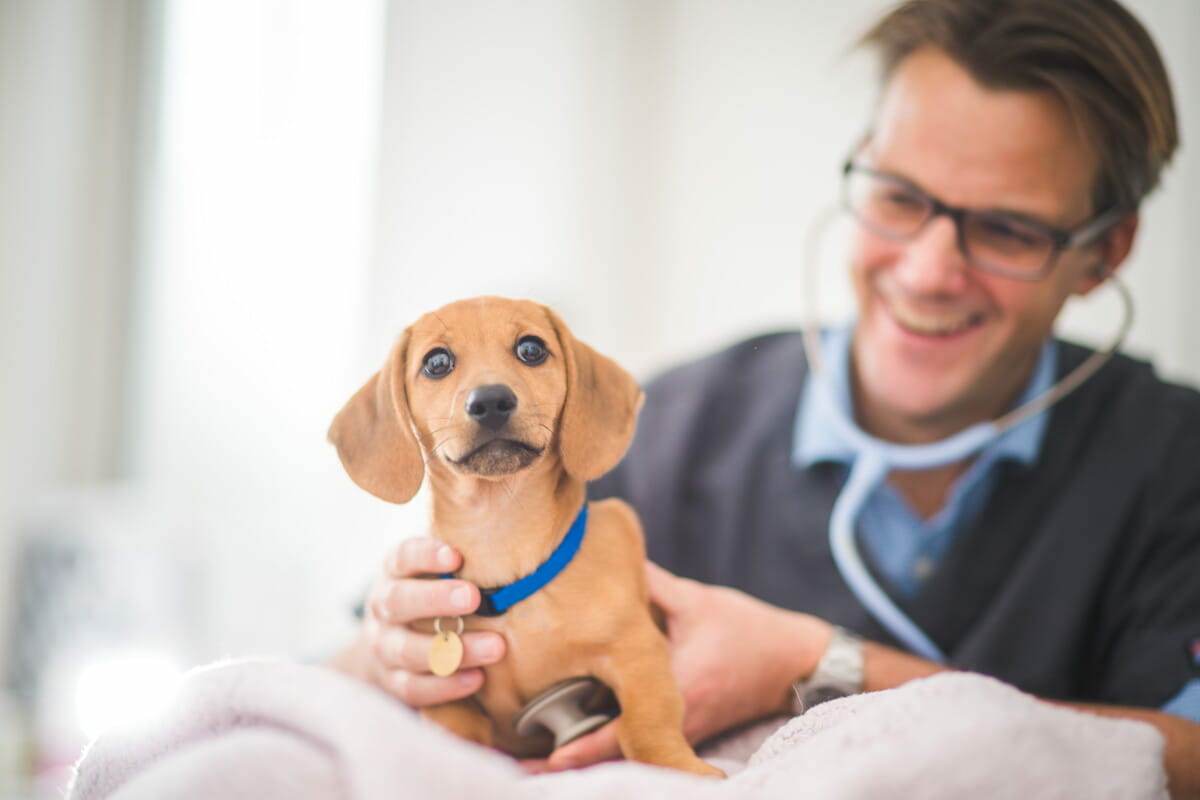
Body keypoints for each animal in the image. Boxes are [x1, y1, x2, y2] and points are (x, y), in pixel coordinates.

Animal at [328, 296, 720, 777]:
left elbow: (647, 724)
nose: (491, 400)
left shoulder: (637, 651)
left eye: (531, 349)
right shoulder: (448, 694)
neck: (501, 532)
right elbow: (457, 739)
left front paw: (684, 769)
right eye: (437, 362)